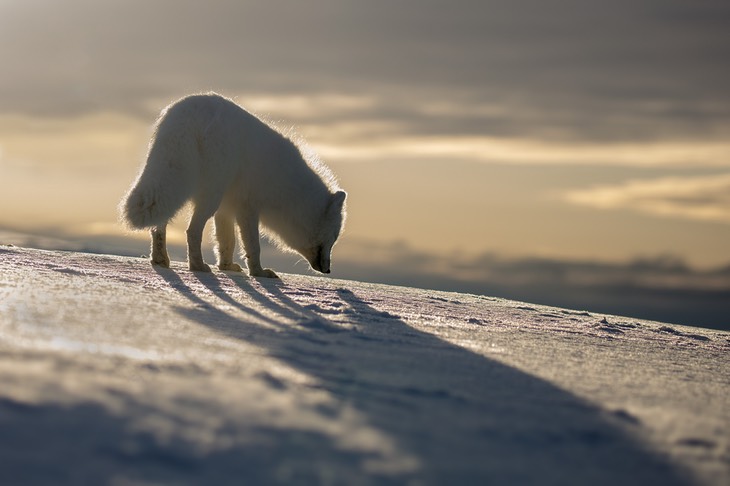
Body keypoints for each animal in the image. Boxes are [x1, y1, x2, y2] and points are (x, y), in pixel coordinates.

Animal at [120, 94, 346, 278]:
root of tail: (188, 113)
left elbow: (227, 241)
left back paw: (160, 260)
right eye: (334, 238)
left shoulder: (227, 208)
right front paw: (258, 273)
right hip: (210, 196)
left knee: (159, 227)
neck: (292, 191)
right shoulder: (248, 208)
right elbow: (253, 246)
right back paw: (197, 266)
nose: (328, 270)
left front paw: (227, 267)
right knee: (191, 231)